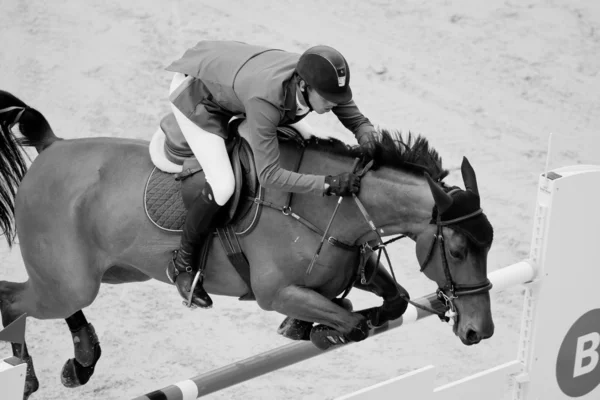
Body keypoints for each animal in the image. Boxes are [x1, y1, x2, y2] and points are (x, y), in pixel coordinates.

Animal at [0, 89, 494, 398]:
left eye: (488, 248)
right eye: (457, 251)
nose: (480, 331)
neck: (332, 207)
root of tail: (51, 148)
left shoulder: (353, 266)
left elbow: (396, 300)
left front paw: (308, 327)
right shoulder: (274, 293)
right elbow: (351, 322)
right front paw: (318, 328)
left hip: (118, 272)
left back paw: (81, 359)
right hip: (68, 282)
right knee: (15, 300)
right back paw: (43, 370)